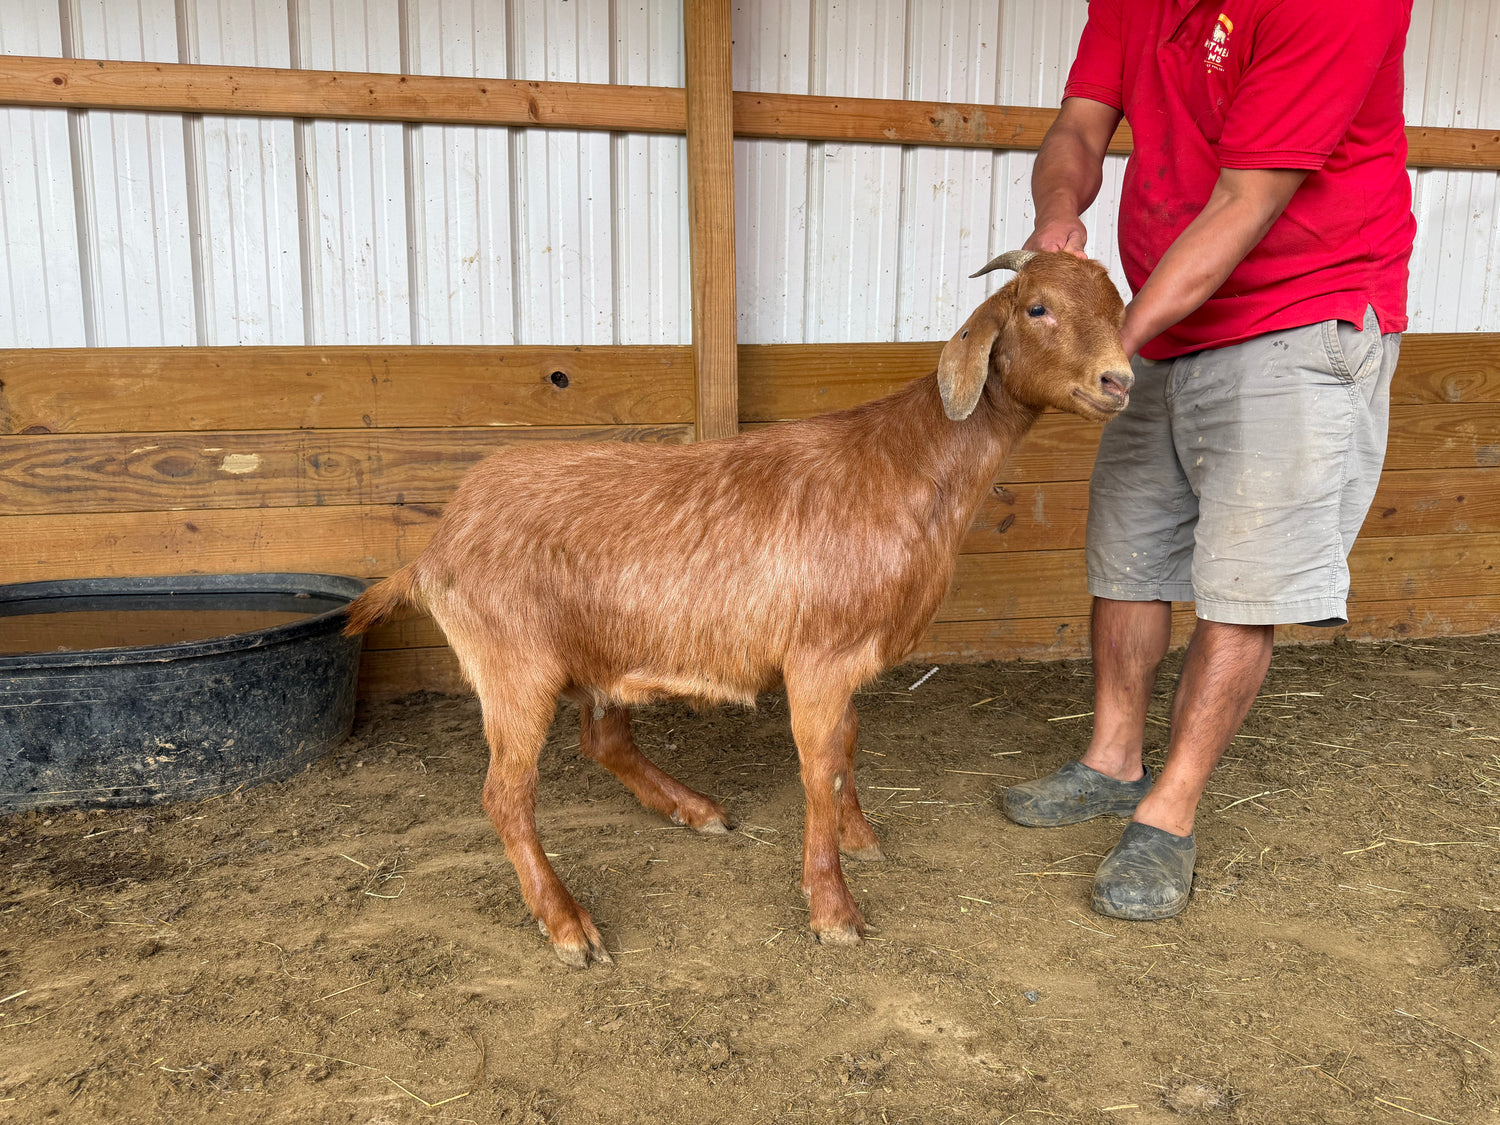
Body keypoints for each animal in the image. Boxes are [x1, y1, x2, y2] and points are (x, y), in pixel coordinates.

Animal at [343, 250, 1133, 967]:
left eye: (1119, 307)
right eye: (1037, 308)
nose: (1118, 380)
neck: (905, 463)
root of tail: (436, 545)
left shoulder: (845, 656)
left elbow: (848, 746)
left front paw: (859, 840)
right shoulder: (819, 658)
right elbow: (821, 768)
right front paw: (833, 909)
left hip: (598, 654)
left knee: (603, 741)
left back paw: (693, 809)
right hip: (515, 667)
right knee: (505, 796)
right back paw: (568, 925)